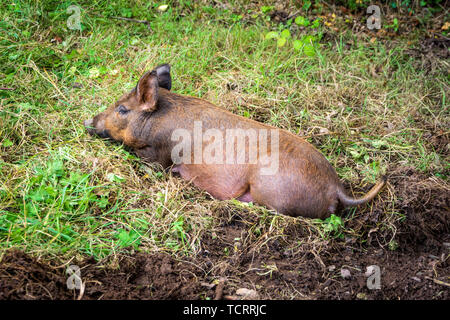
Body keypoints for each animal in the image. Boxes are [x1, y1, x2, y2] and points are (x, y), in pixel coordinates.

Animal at [83, 63, 384, 219]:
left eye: (122, 109)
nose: (89, 122)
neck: (155, 121)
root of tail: (336, 187)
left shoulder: (159, 154)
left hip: (269, 189)